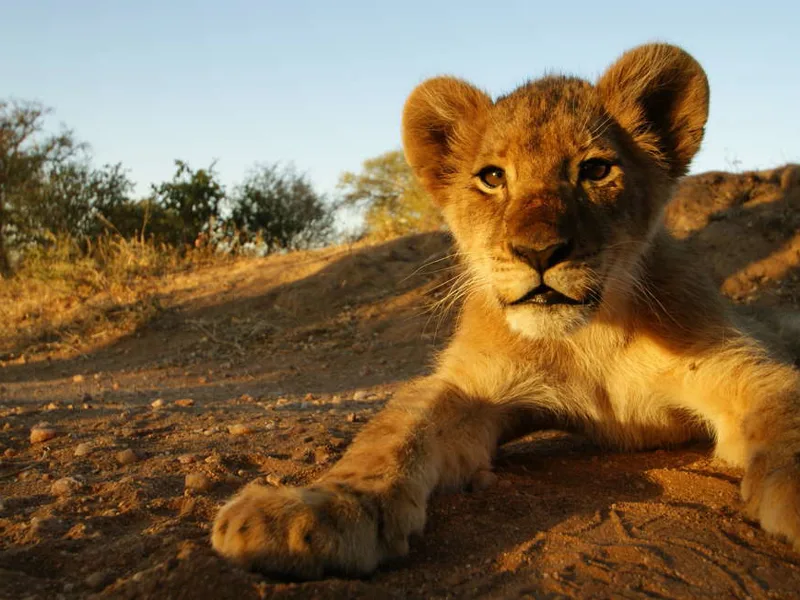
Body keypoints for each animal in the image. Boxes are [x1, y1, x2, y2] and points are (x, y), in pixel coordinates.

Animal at [210, 43, 800, 579]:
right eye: (492, 177)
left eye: (595, 170)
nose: (539, 252)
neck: (589, 337)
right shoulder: (467, 388)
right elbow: (389, 435)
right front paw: (311, 512)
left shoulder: (743, 366)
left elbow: (785, 411)